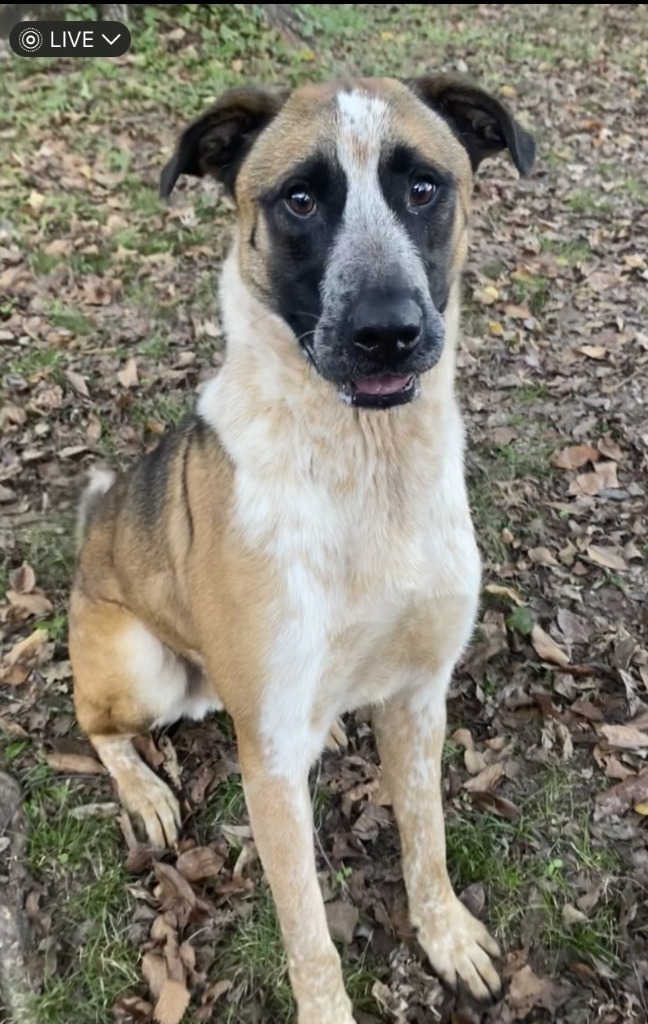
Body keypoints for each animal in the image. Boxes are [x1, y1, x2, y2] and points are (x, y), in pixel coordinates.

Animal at [69, 74, 532, 1024]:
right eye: (301, 199)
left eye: (423, 187)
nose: (387, 331)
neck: (367, 465)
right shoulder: (275, 762)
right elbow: (310, 937)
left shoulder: (421, 696)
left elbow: (427, 840)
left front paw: (446, 936)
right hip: (141, 664)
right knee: (93, 725)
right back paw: (144, 790)